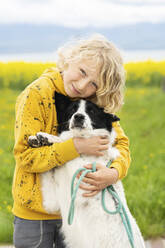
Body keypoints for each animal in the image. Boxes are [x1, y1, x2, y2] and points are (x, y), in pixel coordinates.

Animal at [28, 92, 146, 247]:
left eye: (92, 111)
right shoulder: (52, 201)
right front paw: (40, 140)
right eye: (72, 109)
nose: (78, 116)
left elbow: (68, 142)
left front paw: (48, 137)